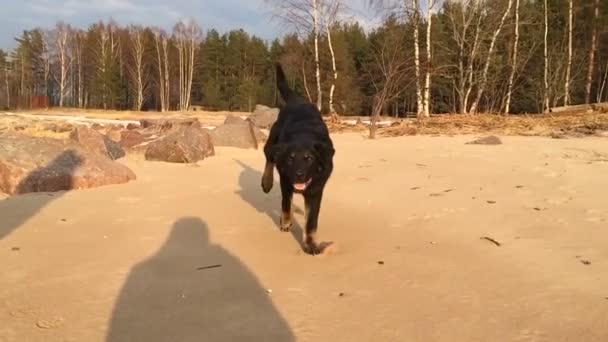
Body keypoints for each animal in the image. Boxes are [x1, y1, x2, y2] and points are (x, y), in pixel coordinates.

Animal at [262, 63, 334, 254]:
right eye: (291, 159)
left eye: (309, 158)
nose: (299, 174)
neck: (304, 136)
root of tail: (297, 101)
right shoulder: (286, 180)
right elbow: (286, 203)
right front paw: (286, 221)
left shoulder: (316, 190)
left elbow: (311, 221)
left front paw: (310, 244)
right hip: (273, 140)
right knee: (269, 157)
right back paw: (266, 182)